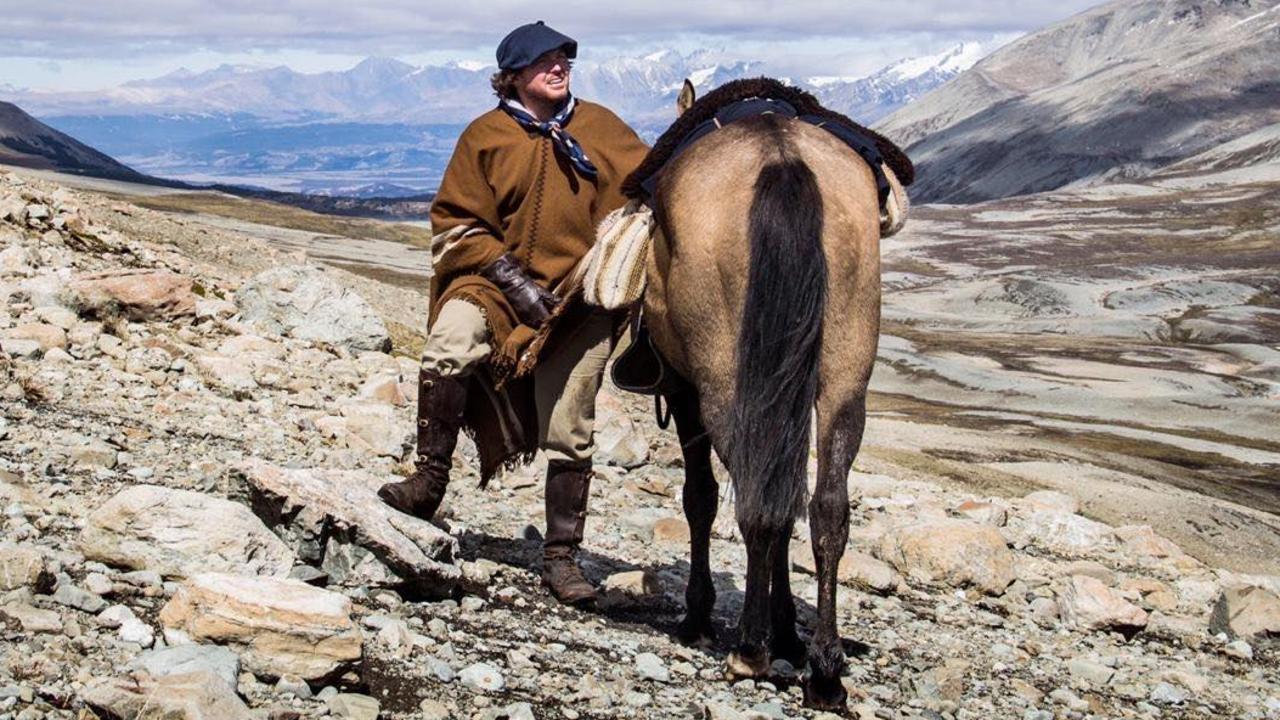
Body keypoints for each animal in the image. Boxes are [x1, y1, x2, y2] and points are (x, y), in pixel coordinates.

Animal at [622, 81, 911, 707]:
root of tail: (780, 156)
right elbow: (795, 501)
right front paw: (790, 636)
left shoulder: (686, 392)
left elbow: (701, 498)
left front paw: (702, 615)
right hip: (845, 378)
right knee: (826, 508)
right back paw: (825, 669)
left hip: (724, 387)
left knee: (755, 501)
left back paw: (750, 649)